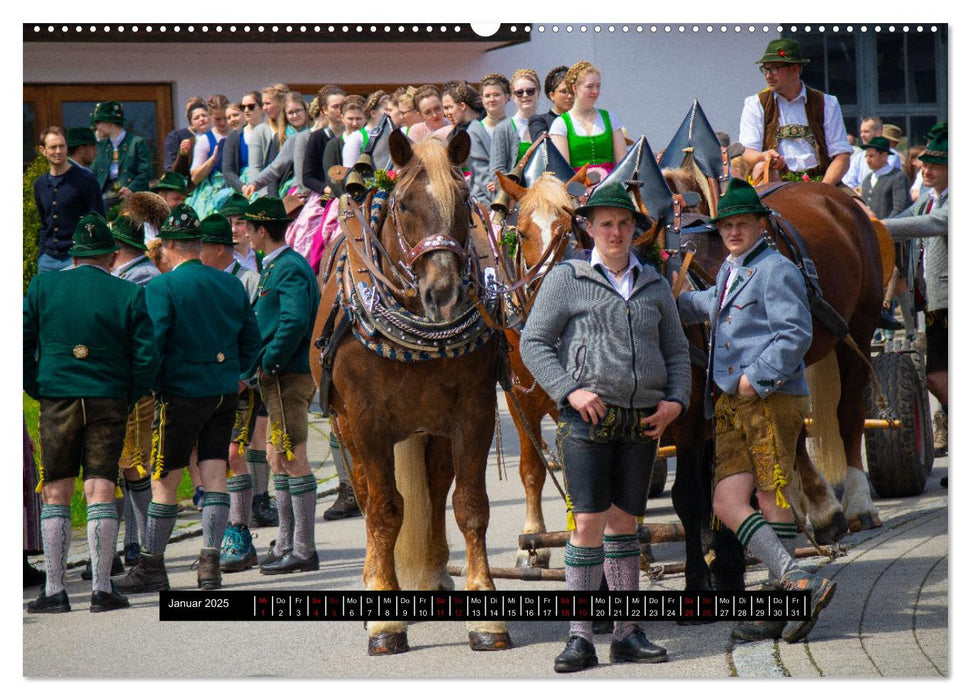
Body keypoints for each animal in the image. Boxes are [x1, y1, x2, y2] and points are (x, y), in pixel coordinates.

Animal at [312, 130, 512, 656]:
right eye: (403, 205)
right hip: (347, 428)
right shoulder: (365, 422)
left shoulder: (474, 412)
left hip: (432, 427)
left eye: (463, 200)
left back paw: (436, 575)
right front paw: (385, 622)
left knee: (438, 485)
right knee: (366, 495)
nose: (443, 295)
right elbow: (385, 511)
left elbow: (471, 507)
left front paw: (486, 618)